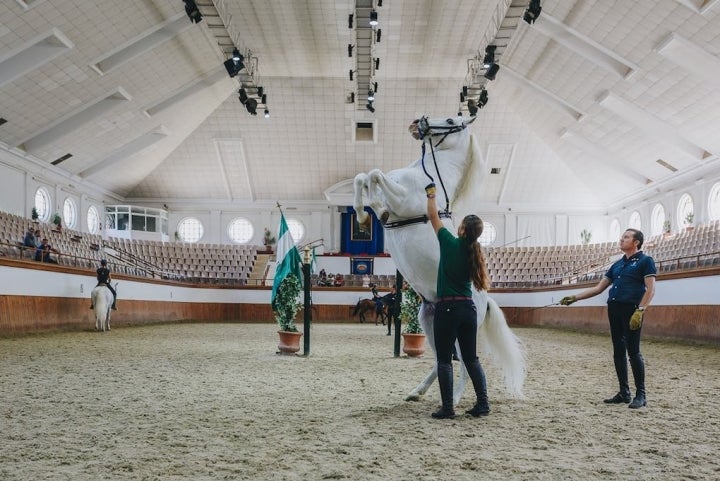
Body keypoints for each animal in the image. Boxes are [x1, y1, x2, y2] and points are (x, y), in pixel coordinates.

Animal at [352, 114, 524, 404]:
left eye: (450, 119)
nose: (416, 123)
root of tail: (485, 301)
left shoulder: (402, 199)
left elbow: (374, 174)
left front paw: (372, 213)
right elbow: (362, 177)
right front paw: (364, 217)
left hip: (461, 332)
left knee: (465, 364)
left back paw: (454, 399)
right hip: (430, 323)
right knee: (439, 360)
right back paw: (416, 392)